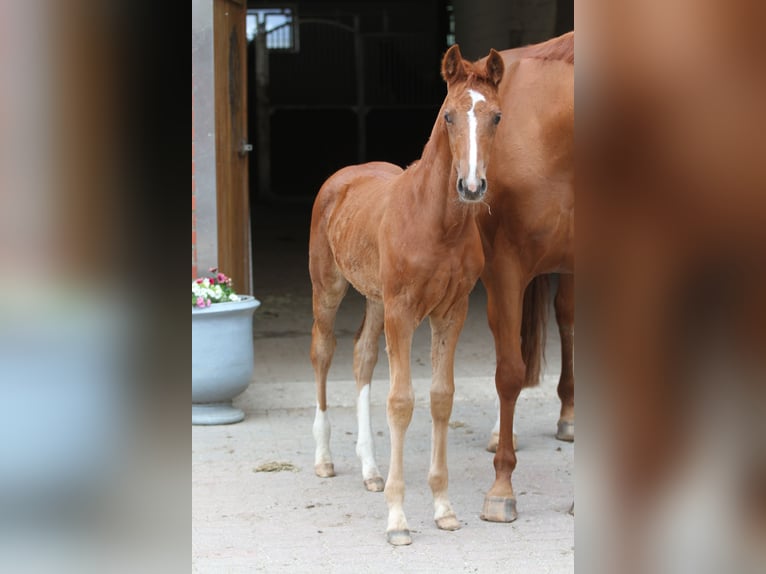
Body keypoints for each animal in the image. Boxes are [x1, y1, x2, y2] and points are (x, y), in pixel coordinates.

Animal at [308, 46, 508, 548]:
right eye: (449, 115)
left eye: (496, 117)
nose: (471, 187)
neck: (438, 224)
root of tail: (346, 175)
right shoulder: (403, 311)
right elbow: (400, 402)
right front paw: (398, 518)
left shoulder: (451, 312)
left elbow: (441, 397)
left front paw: (443, 507)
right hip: (329, 288)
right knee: (323, 352)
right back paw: (324, 459)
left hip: (376, 300)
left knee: (361, 358)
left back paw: (370, 469)